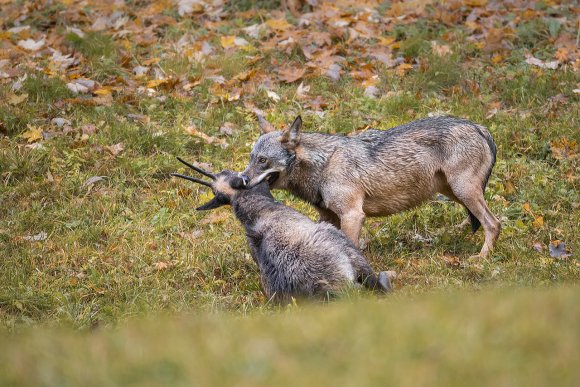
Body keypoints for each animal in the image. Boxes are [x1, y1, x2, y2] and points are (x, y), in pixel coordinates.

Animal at [242, 116, 500, 260]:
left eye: (262, 161)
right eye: (251, 158)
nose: (241, 179)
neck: (323, 164)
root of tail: (479, 127)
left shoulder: (353, 215)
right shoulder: (327, 217)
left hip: (462, 190)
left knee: (493, 223)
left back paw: (481, 258)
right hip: (453, 192)